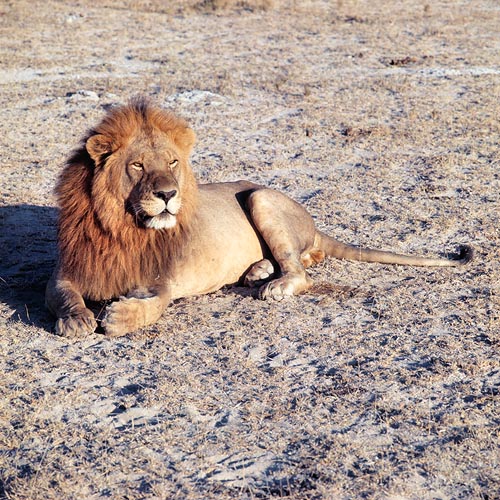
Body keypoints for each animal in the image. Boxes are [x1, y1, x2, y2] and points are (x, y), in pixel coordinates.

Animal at [46, 98, 472, 338]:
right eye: (136, 165)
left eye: (172, 163)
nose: (168, 195)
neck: (122, 229)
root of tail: (314, 225)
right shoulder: (68, 270)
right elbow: (63, 295)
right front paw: (76, 320)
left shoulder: (161, 279)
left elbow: (155, 305)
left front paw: (118, 316)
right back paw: (258, 270)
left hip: (261, 197)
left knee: (301, 271)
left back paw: (273, 283)